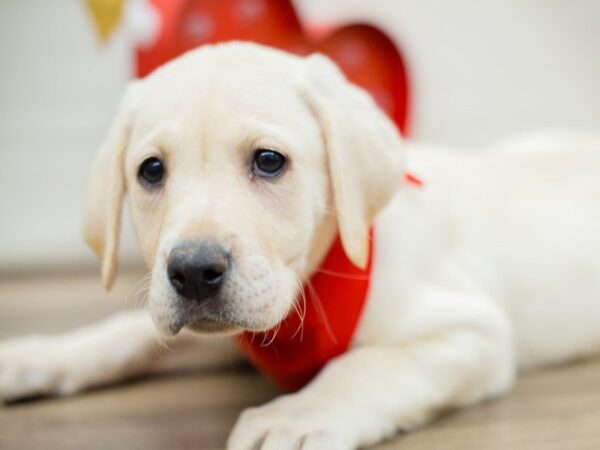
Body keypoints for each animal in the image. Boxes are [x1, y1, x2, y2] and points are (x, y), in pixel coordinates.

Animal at [1, 40, 600, 448]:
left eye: (269, 161)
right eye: (151, 171)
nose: (193, 271)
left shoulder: (473, 332)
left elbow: (364, 368)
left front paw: (295, 416)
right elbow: (129, 330)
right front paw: (40, 355)